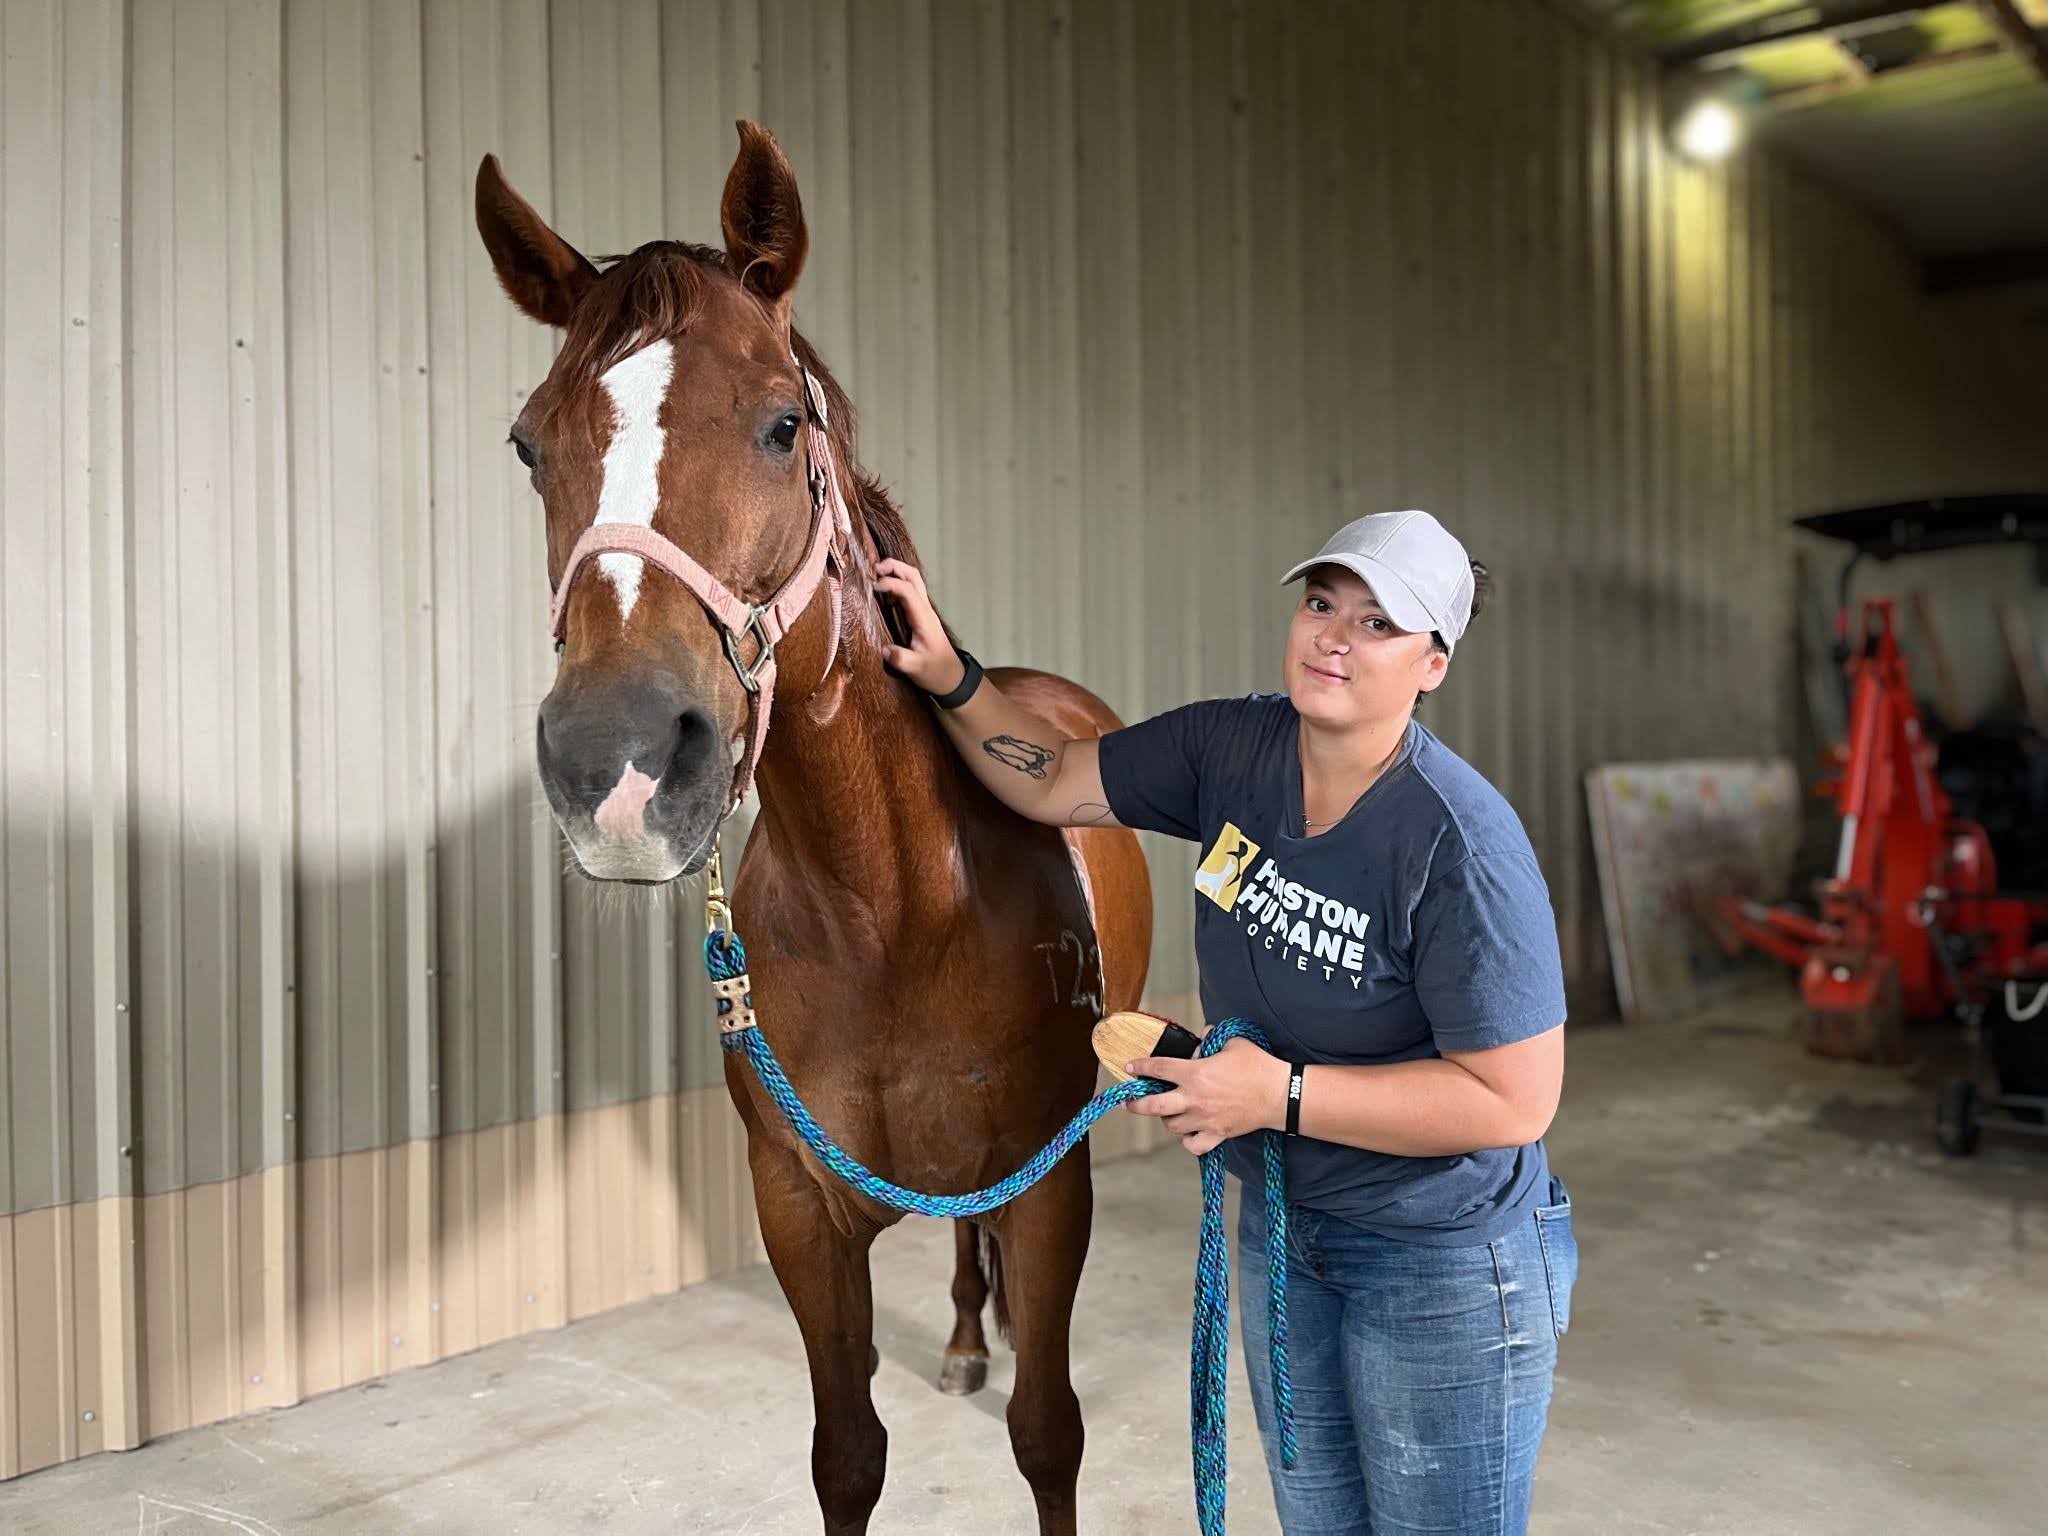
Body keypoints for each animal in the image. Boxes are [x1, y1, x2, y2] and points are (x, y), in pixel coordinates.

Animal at [474, 121, 1153, 1534]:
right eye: (527, 445)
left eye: (783, 425)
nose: (616, 765)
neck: (890, 907)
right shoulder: (793, 1207)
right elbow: (846, 1453)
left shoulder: (1054, 1188)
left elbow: (1048, 1434)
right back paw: (964, 1336)